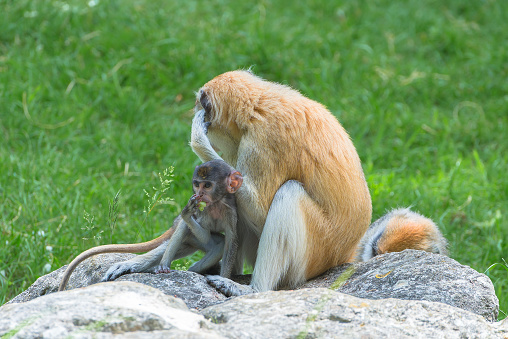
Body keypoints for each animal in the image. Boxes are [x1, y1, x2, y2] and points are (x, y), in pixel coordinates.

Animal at [58, 160, 241, 292]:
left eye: (207, 185)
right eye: (197, 184)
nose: (200, 194)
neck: (216, 204)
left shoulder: (231, 211)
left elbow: (231, 242)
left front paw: (225, 281)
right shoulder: (201, 209)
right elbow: (194, 229)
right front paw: (186, 214)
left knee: (218, 244)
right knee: (187, 233)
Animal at [190, 70, 374, 296]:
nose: (195, 110)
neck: (257, 105)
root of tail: (344, 255)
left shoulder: (264, 141)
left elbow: (259, 213)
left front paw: (198, 136)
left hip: (316, 252)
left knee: (289, 193)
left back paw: (252, 289)